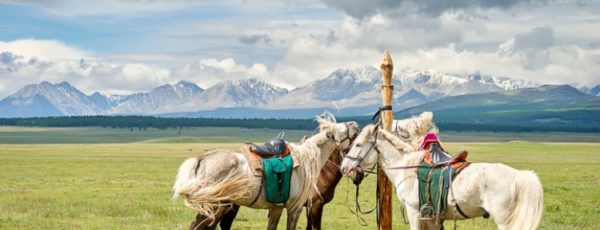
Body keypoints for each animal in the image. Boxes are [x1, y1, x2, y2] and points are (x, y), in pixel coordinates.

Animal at [171, 114, 358, 229]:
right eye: (342, 130)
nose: (355, 124)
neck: (309, 159)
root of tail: (201, 159)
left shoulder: (278, 208)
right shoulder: (298, 207)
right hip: (215, 207)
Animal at [342, 113, 544, 230]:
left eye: (358, 144)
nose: (344, 167)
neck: (407, 167)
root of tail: (518, 176)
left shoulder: (414, 212)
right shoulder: (432, 218)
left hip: (505, 222)